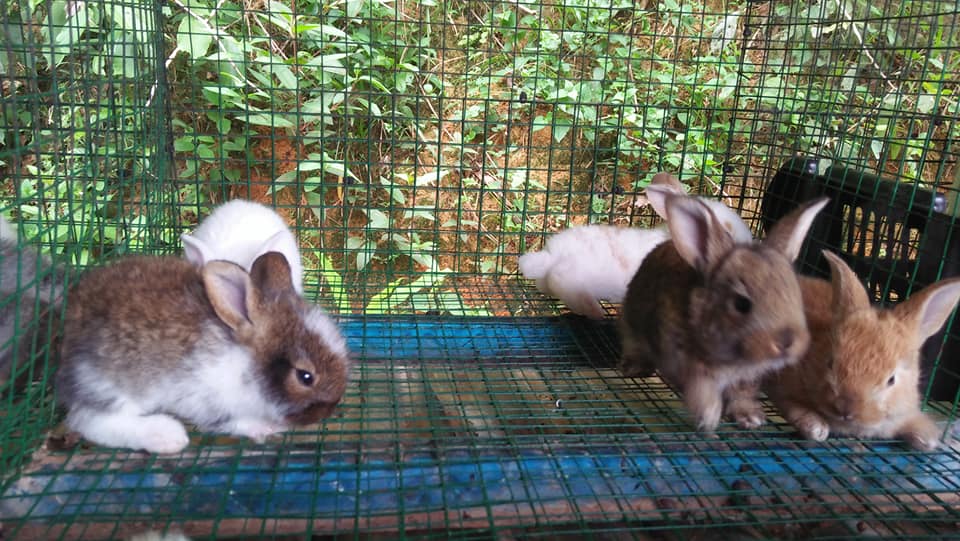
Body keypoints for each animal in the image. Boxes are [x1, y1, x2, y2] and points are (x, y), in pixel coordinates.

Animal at [56, 251, 350, 454]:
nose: (330, 408)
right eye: (305, 377)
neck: (246, 360)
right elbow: (232, 422)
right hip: (113, 386)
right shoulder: (207, 400)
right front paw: (265, 427)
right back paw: (167, 436)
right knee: (89, 421)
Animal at [619, 191, 829, 432]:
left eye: (796, 295)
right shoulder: (692, 370)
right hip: (631, 323)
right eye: (741, 304)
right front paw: (709, 420)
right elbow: (704, 393)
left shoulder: (747, 379)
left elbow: (741, 396)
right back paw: (634, 368)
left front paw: (751, 418)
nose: (786, 342)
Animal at [765, 250, 960, 451]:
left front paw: (928, 439)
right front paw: (815, 427)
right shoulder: (781, 386)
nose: (845, 407)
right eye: (830, 363)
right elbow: (791, 405)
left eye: (891, 380)